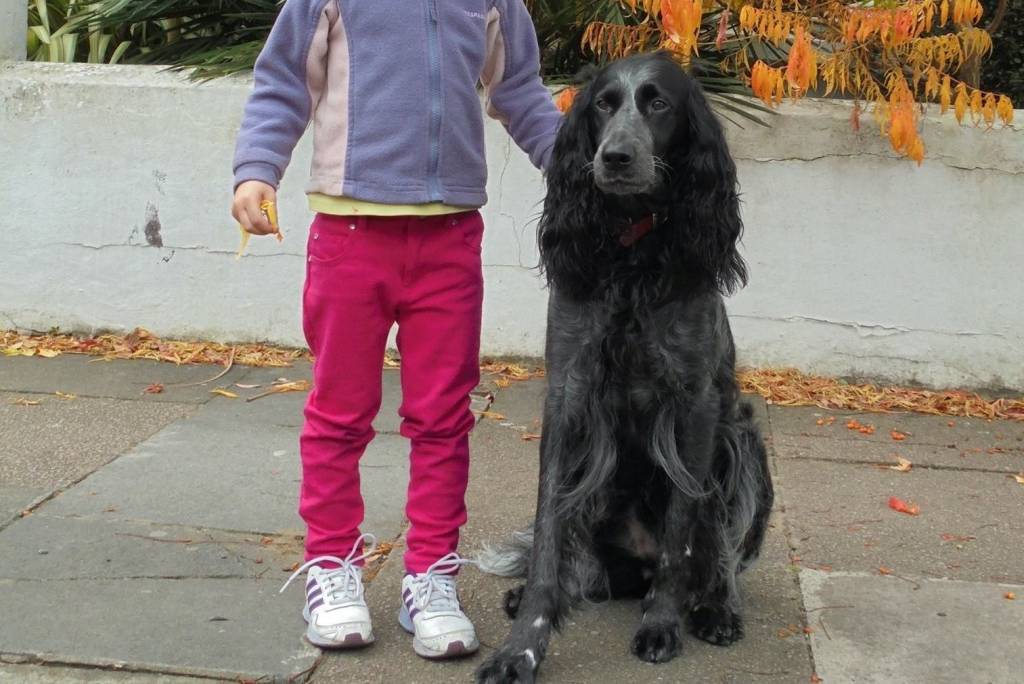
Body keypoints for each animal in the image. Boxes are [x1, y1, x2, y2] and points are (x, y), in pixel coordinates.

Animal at [475, 52, 774, 683]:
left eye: (658, 103)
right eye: (602, 105)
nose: (614, 157)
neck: (632, 257)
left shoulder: (695, 405)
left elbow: (685, 536)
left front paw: (663, 622)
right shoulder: (568, 396)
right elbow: (549, 536)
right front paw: (522, 645)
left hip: (742, 440)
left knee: (719, 548)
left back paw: (715, 606)